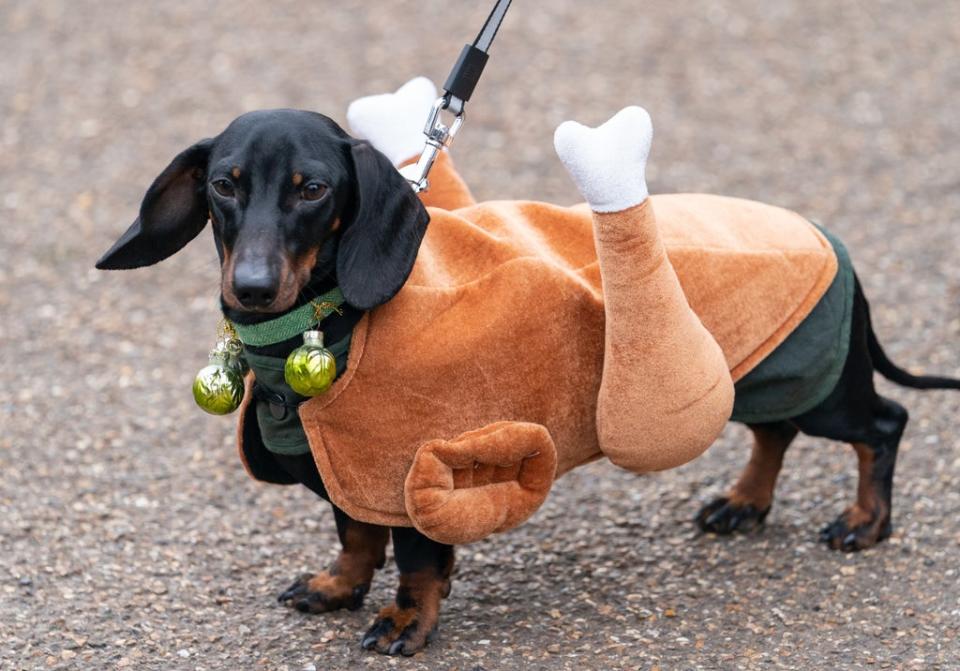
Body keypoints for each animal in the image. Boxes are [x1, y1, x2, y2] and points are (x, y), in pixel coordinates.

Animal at [99, 85, 960, 656]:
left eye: (312, 188)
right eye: (224, 185)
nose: (248, 287)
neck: (329, 322)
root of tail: (824, 234)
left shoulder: (413, 465)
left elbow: (414, 557)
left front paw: (405, 620)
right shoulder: (351, 467)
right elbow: (354, 532)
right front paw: (338, 585)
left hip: (825, 385)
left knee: (884, 423)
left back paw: (864, 521)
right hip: (769, 378)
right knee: (774, 432)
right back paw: (744, 502)